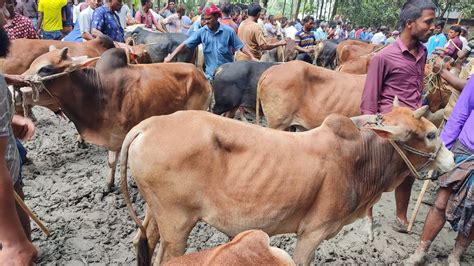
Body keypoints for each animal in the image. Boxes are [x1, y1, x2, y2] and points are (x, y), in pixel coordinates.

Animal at [6, 47, 211, 191]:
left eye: (45, 69)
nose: (16, 81)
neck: (98, 92)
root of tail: (200, 74)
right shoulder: (113, 137)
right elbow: (112, 162)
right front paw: (108, 185)